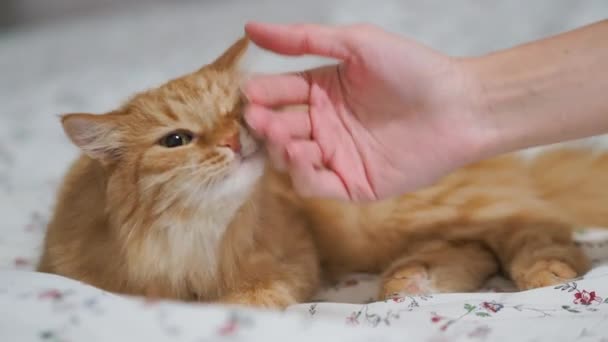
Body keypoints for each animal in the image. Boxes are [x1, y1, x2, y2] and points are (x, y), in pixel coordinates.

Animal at [39, 36, 608, 308]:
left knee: (533, 223)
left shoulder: (292, 255)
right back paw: (412, 280)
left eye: (236, 112)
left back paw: (549, 271)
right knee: (476, 244)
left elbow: (255, 297)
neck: (190, 242)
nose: (234, 139)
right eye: (176, 140)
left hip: (384, 216)